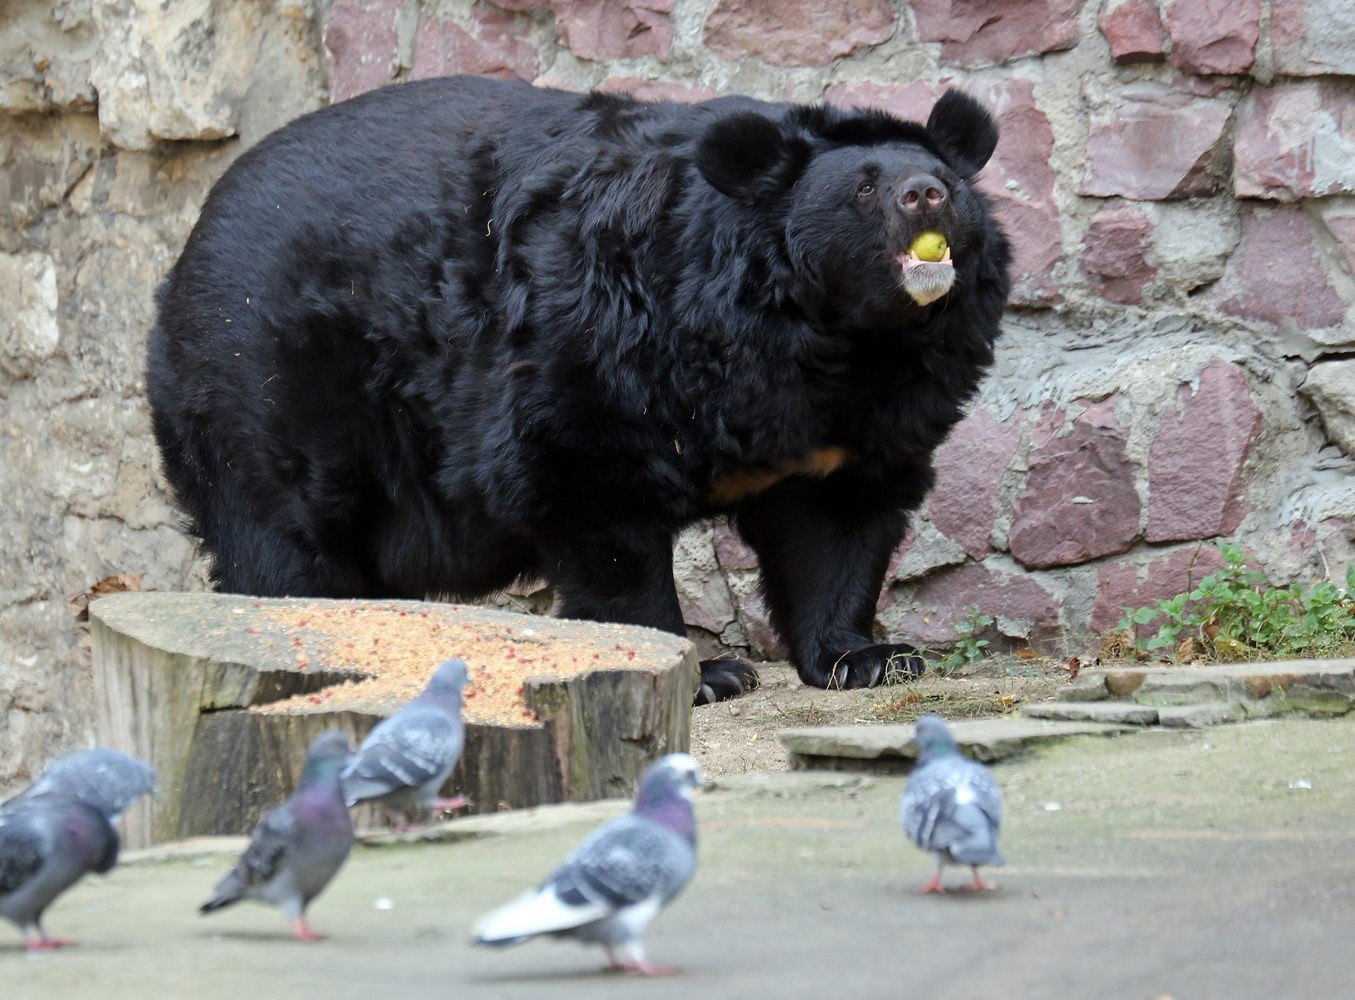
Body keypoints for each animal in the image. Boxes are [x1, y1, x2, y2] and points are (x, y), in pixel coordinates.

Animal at [153, 75, 1013, 699]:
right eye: (863, 188)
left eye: (944, 178)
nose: (924, 195)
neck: (835, 339)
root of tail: (187, 248)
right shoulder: (604, 346)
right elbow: (598, 508)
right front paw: (704, 672)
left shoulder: (865, 417)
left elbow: (838, 525)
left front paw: (867, 657)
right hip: (269, 381)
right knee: (282, 540)